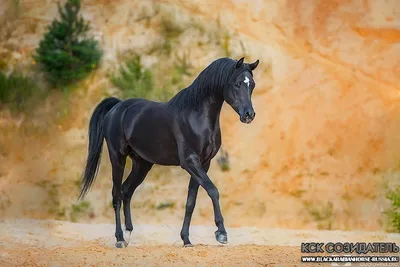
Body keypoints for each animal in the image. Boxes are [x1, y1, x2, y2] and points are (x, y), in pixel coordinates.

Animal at [79, 57, 260, 249]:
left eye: (252, 84)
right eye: (237, 84)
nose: (249, 115)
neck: (196, 117)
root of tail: (117, 108)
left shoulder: (204, 164)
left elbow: (191, 202)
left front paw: (186, 240)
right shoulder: (190, 162)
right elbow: (213, 190)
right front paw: (221, 233)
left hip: (142, 164)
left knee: (126, 191)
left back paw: (128, 235)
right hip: (117, 158)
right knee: (116, 195)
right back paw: (120, 239)